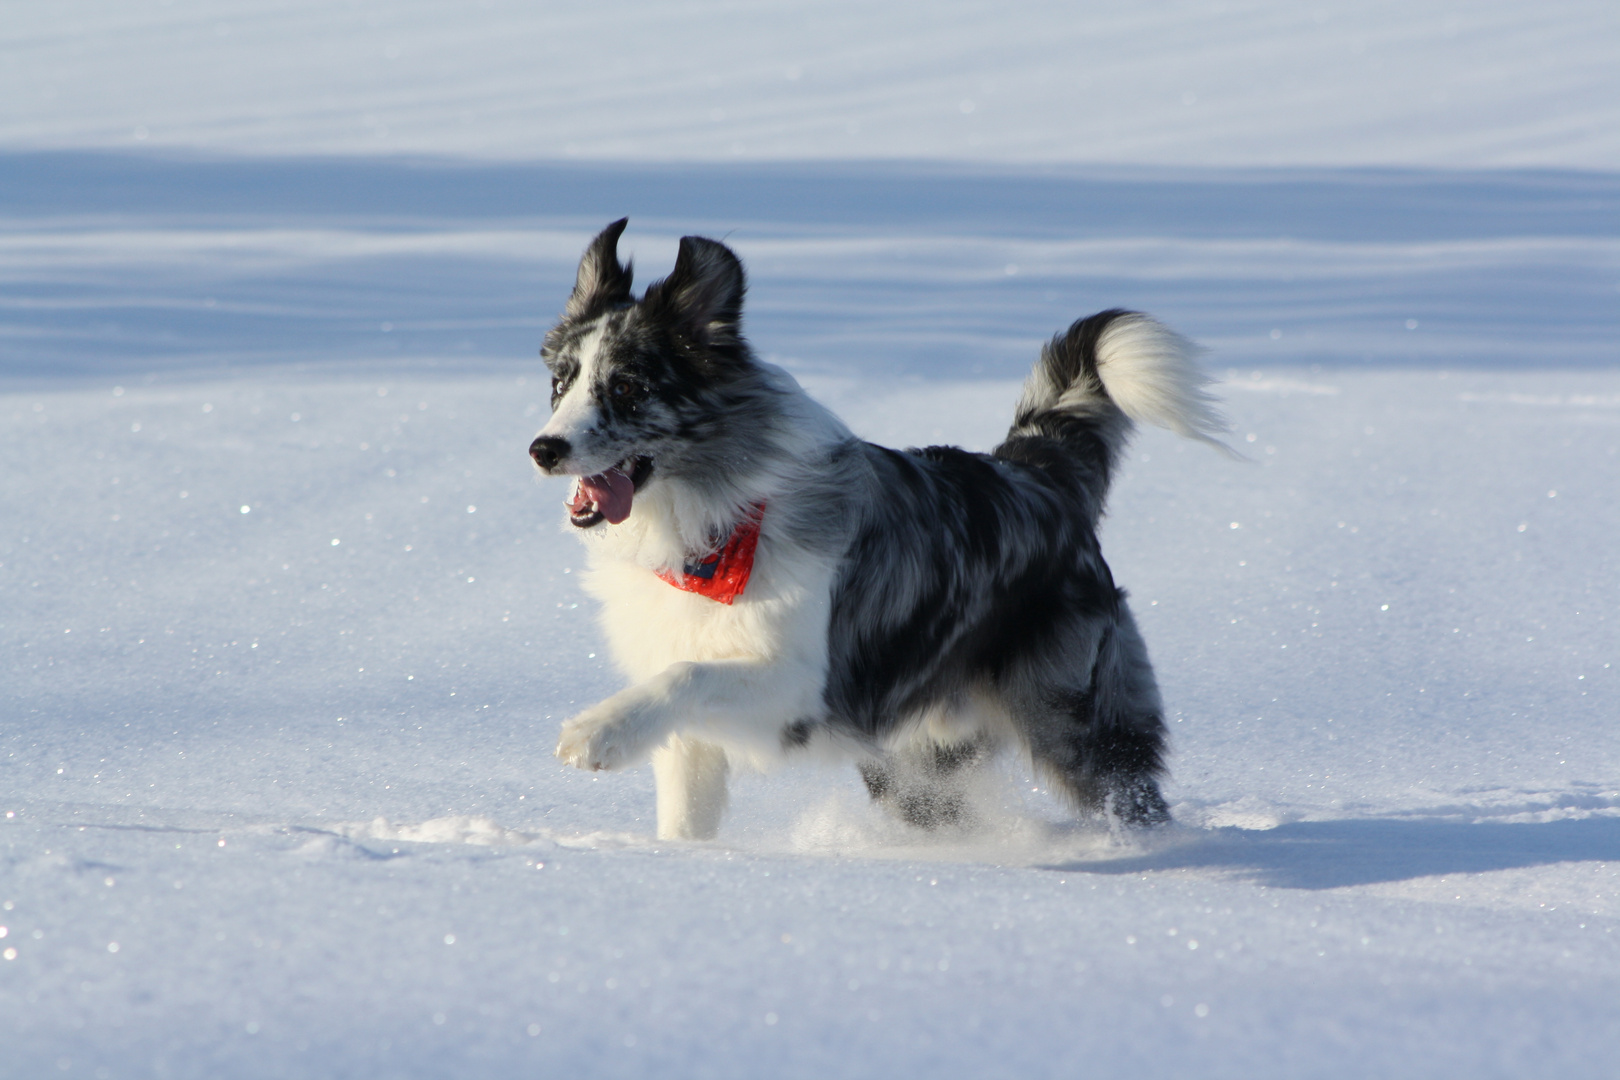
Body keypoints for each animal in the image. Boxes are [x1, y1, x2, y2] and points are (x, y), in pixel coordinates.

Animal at [531, 220, 1224, 841]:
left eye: (627, 386)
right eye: (559, 384)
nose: (543, 449)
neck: (710, 524)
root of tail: (1037, 476)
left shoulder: (802, 686)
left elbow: (688, 675)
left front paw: (596, 733)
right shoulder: (694, 721)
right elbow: (683, 804)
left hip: (1070, 723)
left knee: (1129, 797)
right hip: (918, 763)